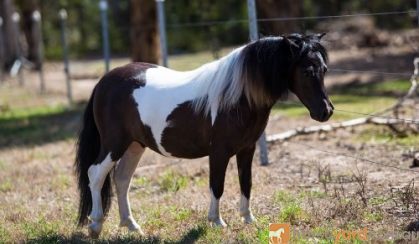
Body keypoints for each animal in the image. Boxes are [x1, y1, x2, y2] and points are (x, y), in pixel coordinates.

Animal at [74, 33, 334, 237]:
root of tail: (105, 81)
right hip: (114, 143)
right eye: (307, 71)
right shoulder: (219, 152)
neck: (236, 97)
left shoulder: (247, 149)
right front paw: (217, 221)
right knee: (95, 174)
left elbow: (246, 182)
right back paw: (95, 225)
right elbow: (217, 186)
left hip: (135, 145)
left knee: (122, 179)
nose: (326, 111)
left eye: (324, 69)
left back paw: (131, 225)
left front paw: (248, 219)